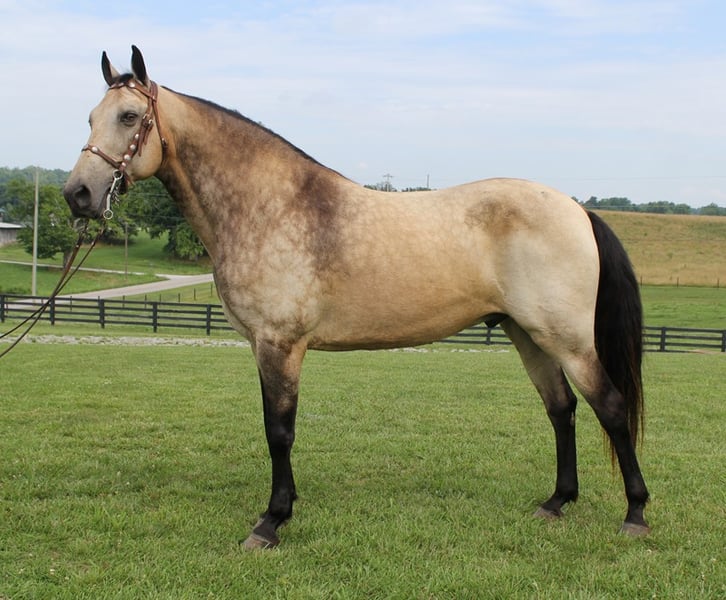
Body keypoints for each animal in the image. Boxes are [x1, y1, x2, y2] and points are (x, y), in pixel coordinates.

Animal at [63, 46, 650, 549]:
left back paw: (635, 514)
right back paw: (556, 502)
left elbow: (279, 430)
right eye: (90, 117)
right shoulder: (264, 346)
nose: (78, 194)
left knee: (609, 407)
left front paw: (271, 521)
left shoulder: (280, 344)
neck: (271, 206)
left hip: (567, 339)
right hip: (526, 334)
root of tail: (576, 209)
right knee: (561, 408)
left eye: (130, 117)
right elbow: (276, 427)